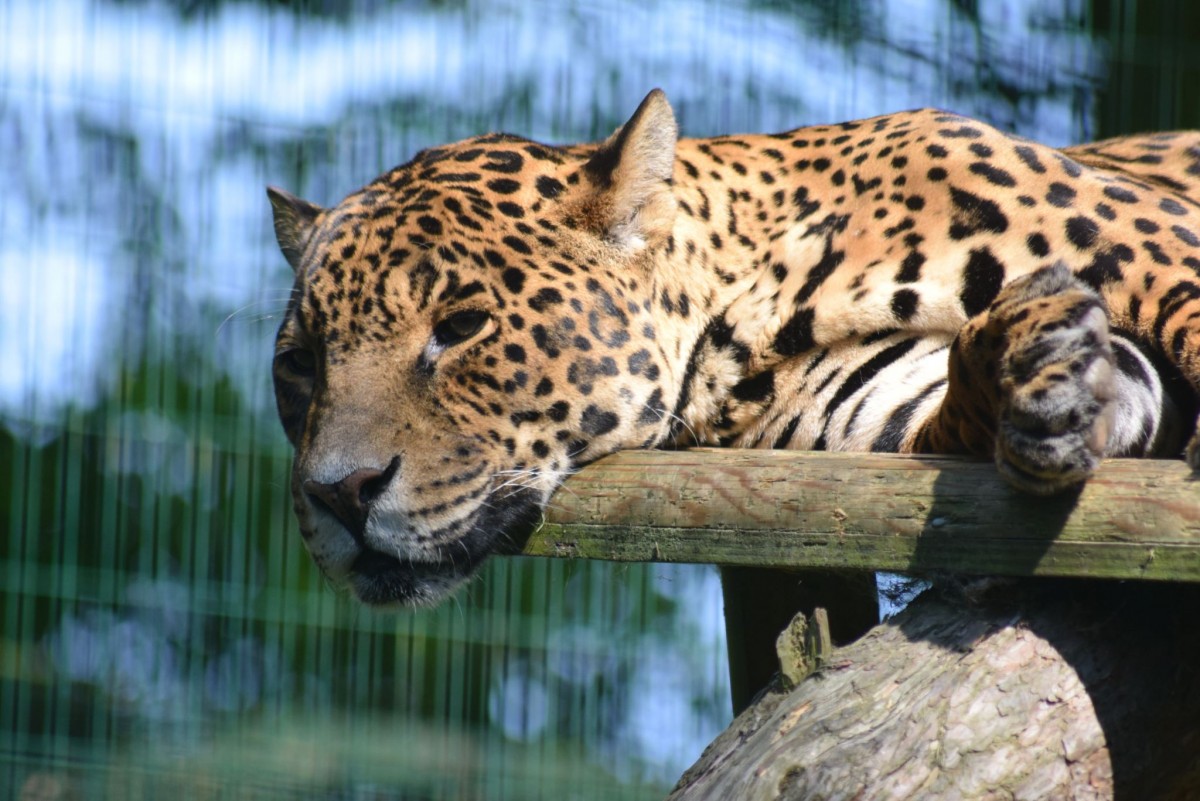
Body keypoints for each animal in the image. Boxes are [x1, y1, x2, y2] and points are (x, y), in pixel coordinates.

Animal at [268, 89, 1200, 607]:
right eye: (300, 365)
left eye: (461, 327)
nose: (339, 493)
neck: (748, 295)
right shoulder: (865, 411)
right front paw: (1031, 367)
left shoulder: (1152, 241)